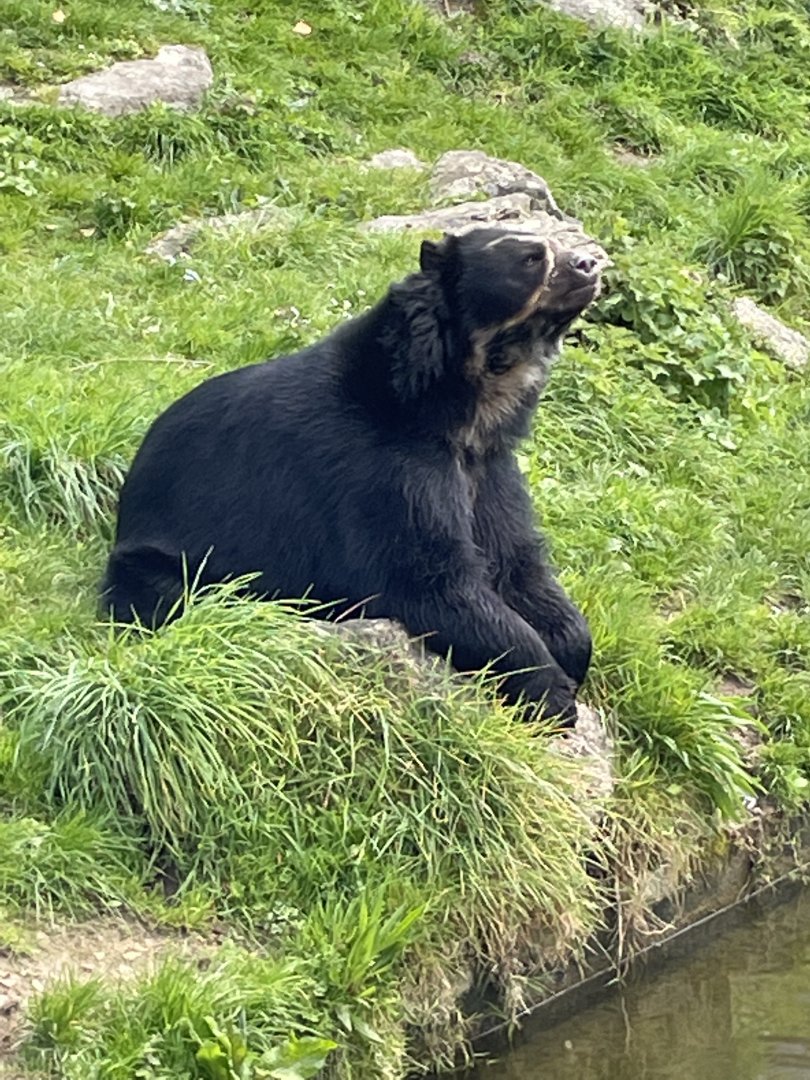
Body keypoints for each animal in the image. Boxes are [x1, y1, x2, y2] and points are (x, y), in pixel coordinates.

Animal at [100, 227, 601, 724]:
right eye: (531, 258)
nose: (590, 265)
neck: (464, 412)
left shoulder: (491, 470)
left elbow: (515, 559)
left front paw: (572, 649)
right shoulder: (384, 469)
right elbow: (429, 579)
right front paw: (552, 693)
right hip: (169, 565)